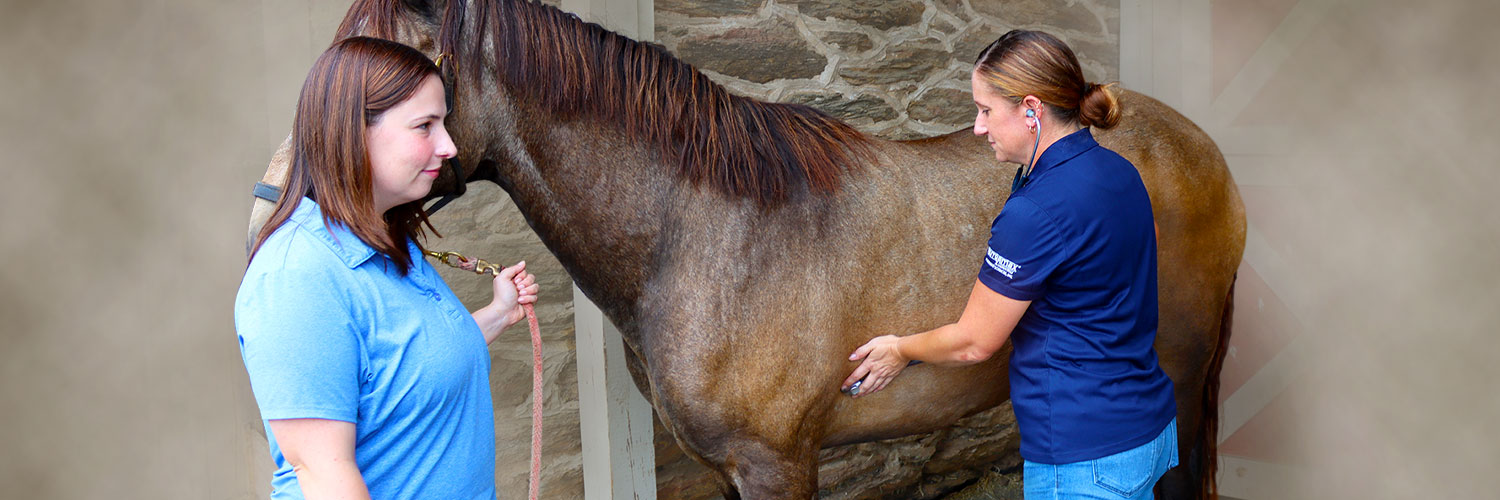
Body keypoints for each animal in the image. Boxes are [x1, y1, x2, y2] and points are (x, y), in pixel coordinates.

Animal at [247, 1, 1245, 498]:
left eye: (396, 64)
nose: (272, 202)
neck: (703, 235)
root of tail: (1197, 146)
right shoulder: (730, 467)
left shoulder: (778, 464)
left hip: (1180, 376)